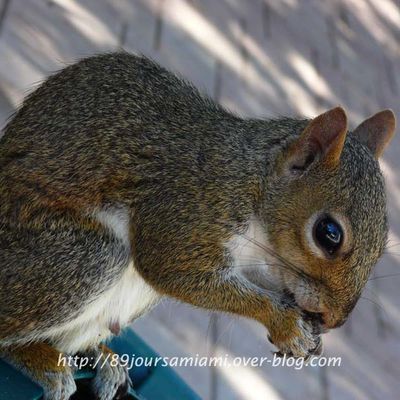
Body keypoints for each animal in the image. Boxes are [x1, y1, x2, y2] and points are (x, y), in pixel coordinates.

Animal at [0, 51, 396, 398]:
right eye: (329, 234)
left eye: (382, 245)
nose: (334, 320)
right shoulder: (186, 208)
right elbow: (171, 269)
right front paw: (284, 323)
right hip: (80, 259)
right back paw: (41, 361)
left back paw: (103, 358)